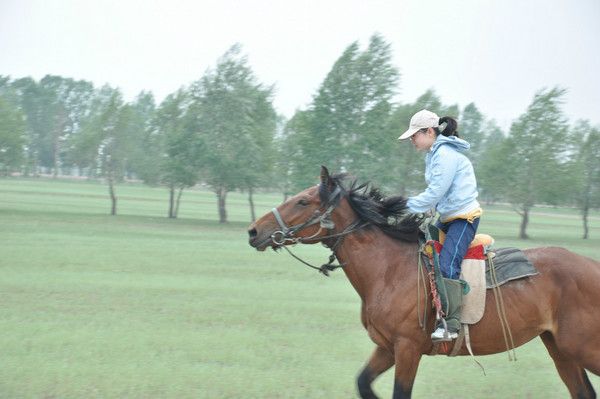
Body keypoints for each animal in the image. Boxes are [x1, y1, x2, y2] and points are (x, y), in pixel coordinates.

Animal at [246, 167, 596, 398]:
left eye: (303, 202)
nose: (254, 231)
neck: (388, 271)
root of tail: (593, 266)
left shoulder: (407, 349)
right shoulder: (387, 348)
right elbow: (363, 383)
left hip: (583, 347)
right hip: (561, 350)